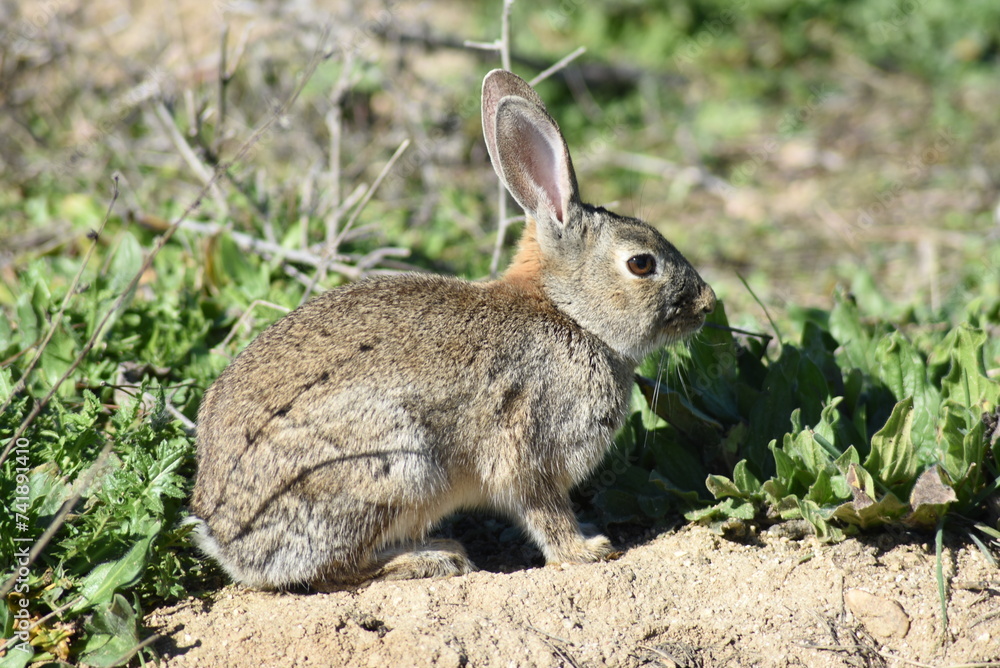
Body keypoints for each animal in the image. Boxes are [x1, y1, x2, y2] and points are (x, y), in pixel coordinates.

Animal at [188, 69, 716, 591]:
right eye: (641, 263)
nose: (708, 303)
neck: (569, 312)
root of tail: (226, 537)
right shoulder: (530, 448)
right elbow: (544, 511)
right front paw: (587, 550)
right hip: (397, 465)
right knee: (340, 569)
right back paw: (435, 557)